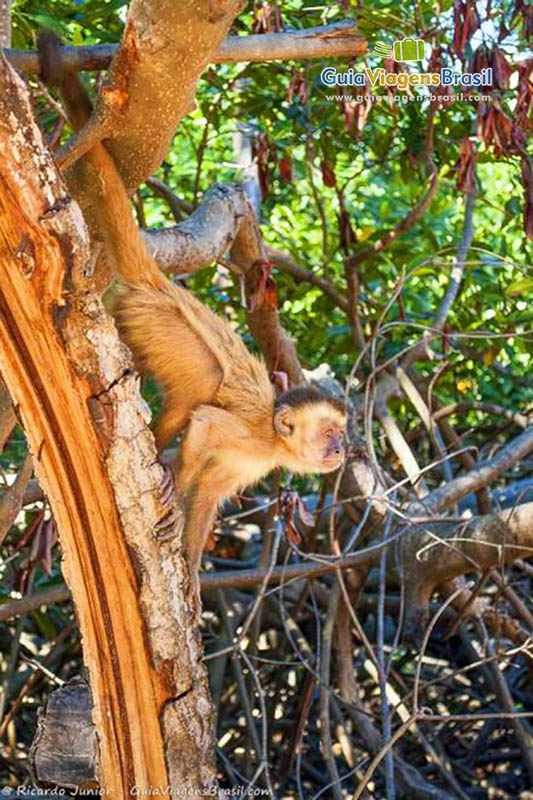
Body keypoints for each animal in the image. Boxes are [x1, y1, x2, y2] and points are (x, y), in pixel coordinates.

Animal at [36, 31, 344, 576]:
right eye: (328, 431)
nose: (340, 449)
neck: (275, 440)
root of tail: (159, 283)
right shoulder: (247, 435)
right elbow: (202, 426)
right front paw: (173, 501)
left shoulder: (245, 465)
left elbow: (208, 498)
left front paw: (195, 574)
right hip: (158, 320)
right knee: (202, 381)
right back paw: (159, 460)